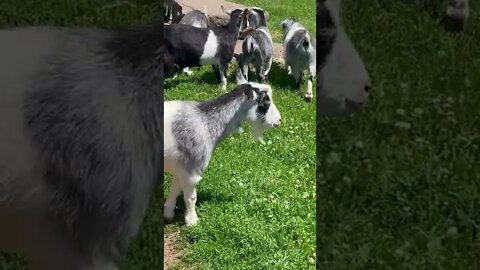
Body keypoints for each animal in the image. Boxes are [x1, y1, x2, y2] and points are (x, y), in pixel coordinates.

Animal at [164, 73, 282, 227]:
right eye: (265, 104)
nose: (279, 120)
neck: (205, 122)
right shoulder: (192, 169)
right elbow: (191, 197)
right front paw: (192, 221)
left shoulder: (181, 167)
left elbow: (175, 189)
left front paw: (168, 213)